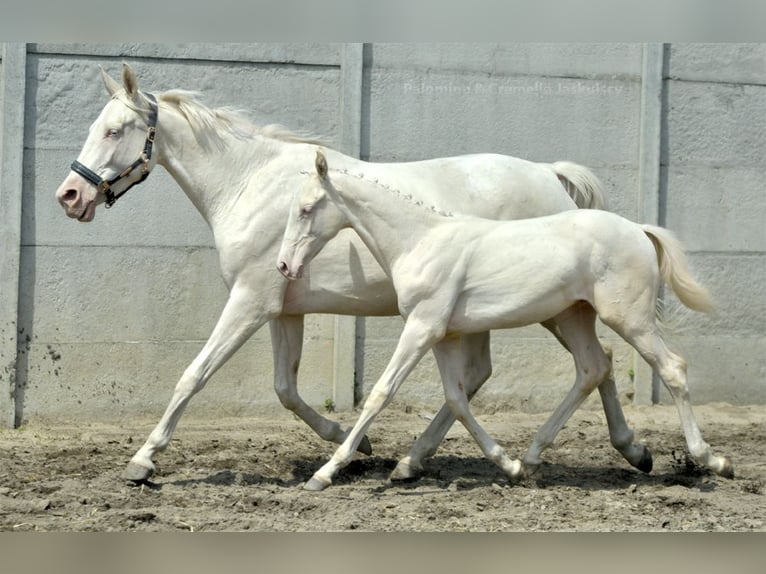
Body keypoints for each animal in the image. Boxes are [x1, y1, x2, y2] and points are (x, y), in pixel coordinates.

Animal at [54, 62, 620, 486]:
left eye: (114, 130)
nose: (70, 196)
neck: (250, 185)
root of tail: (550, 175)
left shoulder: (250, 301)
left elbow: (194, 374)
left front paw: (142, 461)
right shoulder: (282, 310)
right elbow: (284, 388)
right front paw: (354, 440)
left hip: (544, 307)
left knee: (590, 363)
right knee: (526, 371)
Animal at [280, 151, 736, 492]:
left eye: (306, 209)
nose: (285, 266)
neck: (420, 241)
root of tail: (639, 230)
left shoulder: (422, 327)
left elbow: (380, 394)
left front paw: (324, 474)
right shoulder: (442, 334)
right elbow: (456, 398)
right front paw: (508, 466)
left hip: (630, 320)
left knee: (672, 369)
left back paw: (713, 461)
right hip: (574, 317)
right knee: (593, 367)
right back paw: (534, 458)